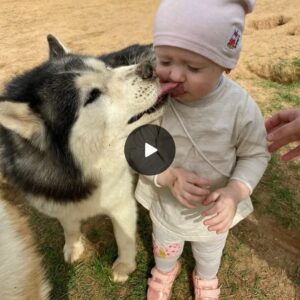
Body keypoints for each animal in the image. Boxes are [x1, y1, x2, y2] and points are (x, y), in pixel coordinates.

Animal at [0, 36, 173, 282]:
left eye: (107, 68)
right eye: (92, 96)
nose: (149, 70)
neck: (80, 172)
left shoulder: (121, 204)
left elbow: (124, 239)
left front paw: (124, 266)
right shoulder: (60, 203)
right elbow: (69, 226)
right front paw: (73, 246)